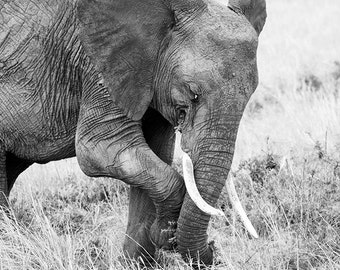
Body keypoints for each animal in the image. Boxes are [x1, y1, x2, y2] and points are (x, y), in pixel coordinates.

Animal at [0, 0, 266, 266]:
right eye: (193, 93)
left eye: (251, 93)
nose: (214, 247)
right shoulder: (100, 66)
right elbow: (101, 150)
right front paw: (165, 233)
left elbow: (155, 157)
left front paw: (136, 262)